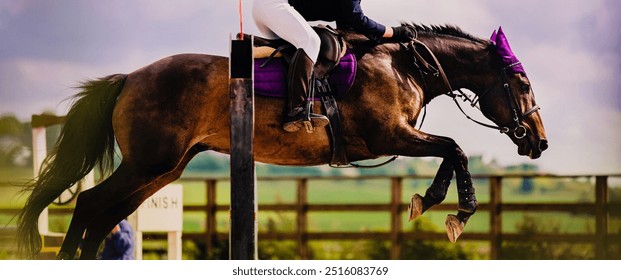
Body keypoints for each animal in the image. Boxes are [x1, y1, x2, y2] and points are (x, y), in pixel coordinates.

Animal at [17, 24, 544, 260]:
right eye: (522, 85)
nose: (538, 143)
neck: (407, 66)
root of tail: (129, 78)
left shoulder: (399, 137)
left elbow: (450, 150)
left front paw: (435, 203)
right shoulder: (388, 135)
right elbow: (454, 148)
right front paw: (448, 209)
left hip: (162, 169)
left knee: (105, 216)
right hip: (148, 164)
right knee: (90, 204)